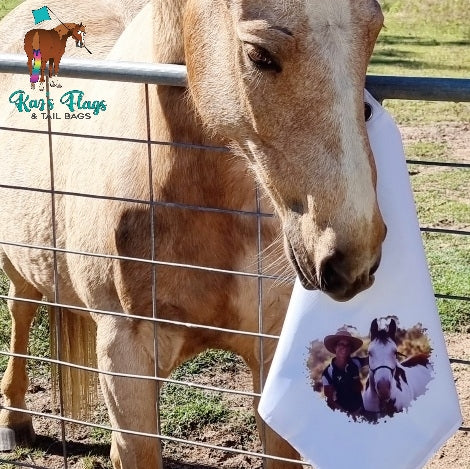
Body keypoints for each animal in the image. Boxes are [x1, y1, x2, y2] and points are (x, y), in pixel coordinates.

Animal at [0, 0, 386, 468]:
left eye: (373, 32)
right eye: (259, 54)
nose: (353, 259)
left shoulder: (270, 348)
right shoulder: (125, 360)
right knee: (21, 310)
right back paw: (14, 418)